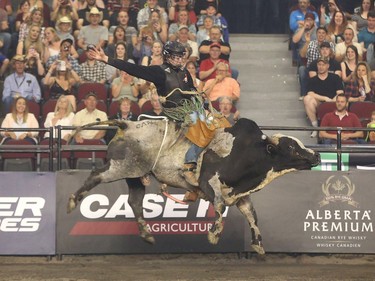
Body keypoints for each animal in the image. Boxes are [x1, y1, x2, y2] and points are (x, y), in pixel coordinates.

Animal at [67, 117, 320, 253]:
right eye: (291, 147)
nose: (316, 156)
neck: (243, 152)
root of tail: (127, 124)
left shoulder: (240, 194)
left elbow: (252, 215)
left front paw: (257, 244)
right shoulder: (208, 182)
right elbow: (219, 206)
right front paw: (214, 234)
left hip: (136, 176)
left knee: (135, 202)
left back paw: (147, 235)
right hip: (121, 166)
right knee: (96, 175)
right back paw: (71, 201)